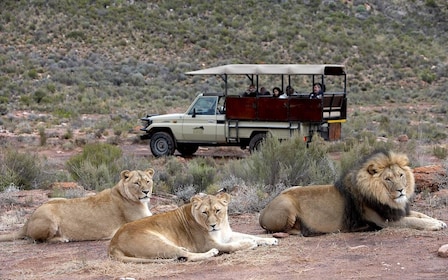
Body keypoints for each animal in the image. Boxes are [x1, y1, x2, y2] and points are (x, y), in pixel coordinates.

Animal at [0, 168, 154, 243]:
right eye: (136, 183)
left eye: (147, 181)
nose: (146, 192)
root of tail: (27, 221)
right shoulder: (137, 222)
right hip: (50, 217)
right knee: (40, 240)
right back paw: (62, 239)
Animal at [108, 191, 278, 262]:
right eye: (204, 212)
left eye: (217, 210)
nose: (213, 225)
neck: (221, 226)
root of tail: (112, 244)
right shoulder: (207, 243)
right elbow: (232, 246)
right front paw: (249, 244)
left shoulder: (227, 235)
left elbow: (252, 235)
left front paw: (271, 240)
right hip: (156, 242)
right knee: (187, 256)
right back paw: (211, 253)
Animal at [260, 151, 446, 236]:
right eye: (388, 179)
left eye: (401, 175)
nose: (401, 190)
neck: (388, 199)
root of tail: (262, 212)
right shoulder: (385, 221)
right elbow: (414, 221)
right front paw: (434, 225)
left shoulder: (396, 211)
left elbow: (420, 215)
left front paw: (439, 221)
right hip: (287, 204)